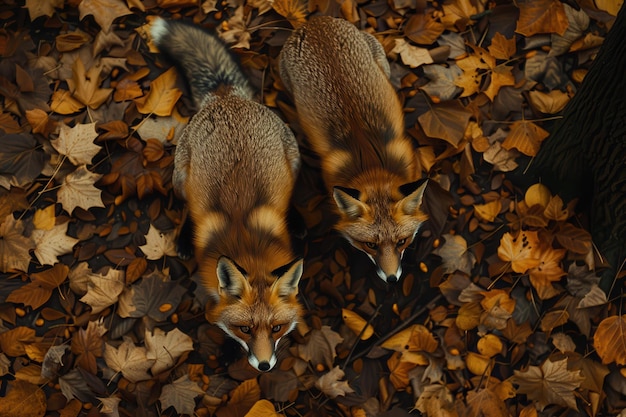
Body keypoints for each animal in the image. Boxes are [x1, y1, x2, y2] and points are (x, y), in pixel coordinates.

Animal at [280, 15, 426, 282]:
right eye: (370, 245)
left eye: (401, 241)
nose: (392, 279)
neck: (372, 166)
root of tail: (314, 21)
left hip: (380, 60)